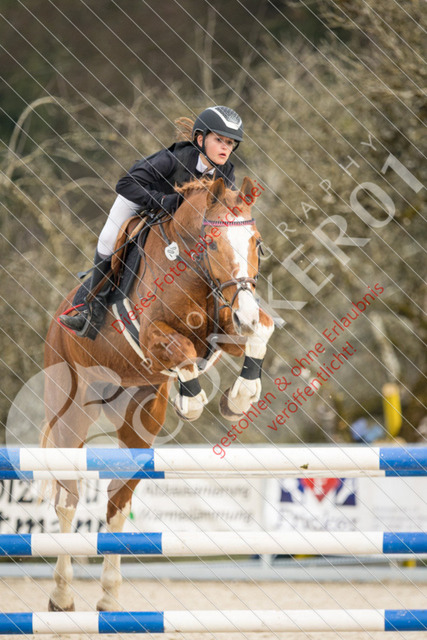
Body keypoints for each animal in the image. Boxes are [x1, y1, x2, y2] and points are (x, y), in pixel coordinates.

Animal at [43, 176, 274, 612]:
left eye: (256, 242)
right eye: (212, 244)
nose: (245, 314)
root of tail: (56, 321)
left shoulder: (226, 322)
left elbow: (261, 332)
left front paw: (239, 398)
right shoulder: (154, 334)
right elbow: (181, 354)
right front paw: (192, 402)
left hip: (139, 420)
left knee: (117, 503)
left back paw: (109, 601)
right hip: (72, 411)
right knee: (67, 498)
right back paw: (62, 598)